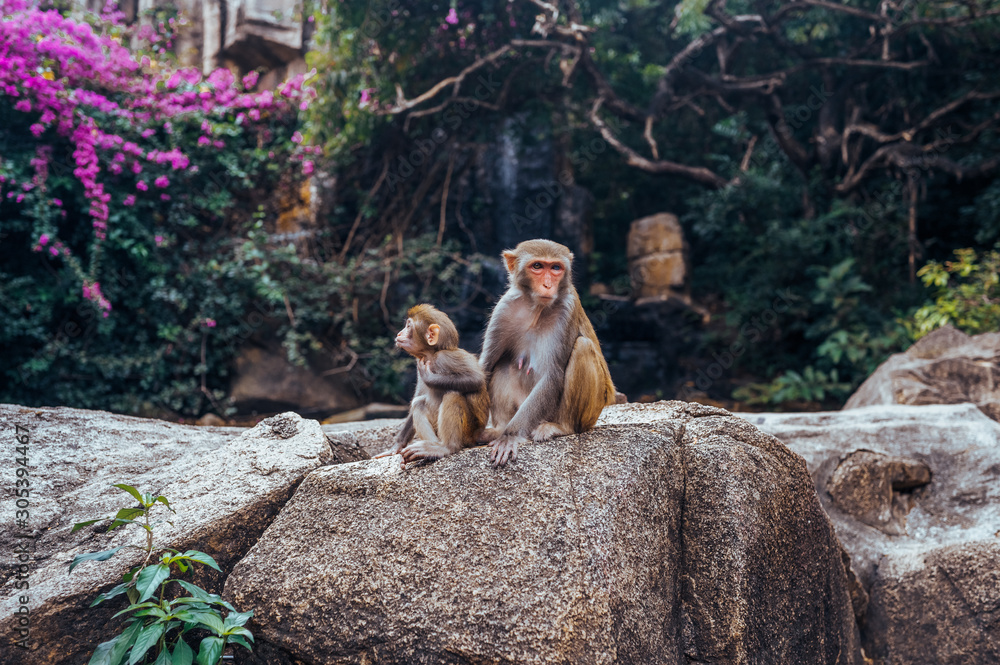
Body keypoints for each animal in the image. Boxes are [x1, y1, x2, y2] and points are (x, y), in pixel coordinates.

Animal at [375, 304, 489, 466]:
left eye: (408, 326)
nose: (399, 333)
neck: (430, 354)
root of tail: (476, 435)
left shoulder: (445, 357)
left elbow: (476, 379)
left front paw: (429, 377)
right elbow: (416, 398)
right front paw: (395, 447)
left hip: (467, 432)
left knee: (452, 393)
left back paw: (445, 447)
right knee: (419, 403)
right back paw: (429, 448)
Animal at [479, 239, 617, 467]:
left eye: (555, 268)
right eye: (537, 266)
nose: (547, 285)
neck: (535, 307)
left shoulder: (567, 310)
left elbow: (552, 375)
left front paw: (509, 437)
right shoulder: (504, 309)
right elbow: (487, 365)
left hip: (587, 412)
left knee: (582, 347)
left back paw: (561, 427)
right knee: (504, 362)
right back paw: (499, 429)